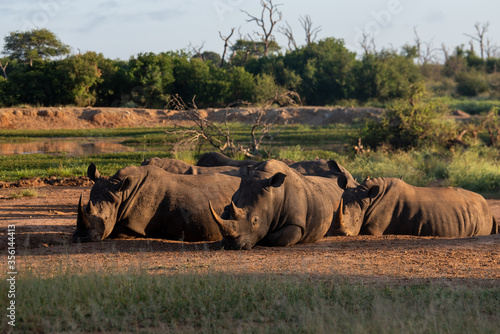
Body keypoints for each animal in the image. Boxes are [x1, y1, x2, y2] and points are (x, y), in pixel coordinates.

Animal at [72, 163, 240, 241]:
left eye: (106, 218)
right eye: (85, 208)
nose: (81, 237)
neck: (121, 194)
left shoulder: (134, 226)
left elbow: (115, 229)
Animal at [208, 160, 348, 250]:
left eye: (255, 221)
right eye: (229, 213)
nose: (231, 245)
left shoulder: (295, 222)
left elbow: (278, 238)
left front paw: (263, 238)